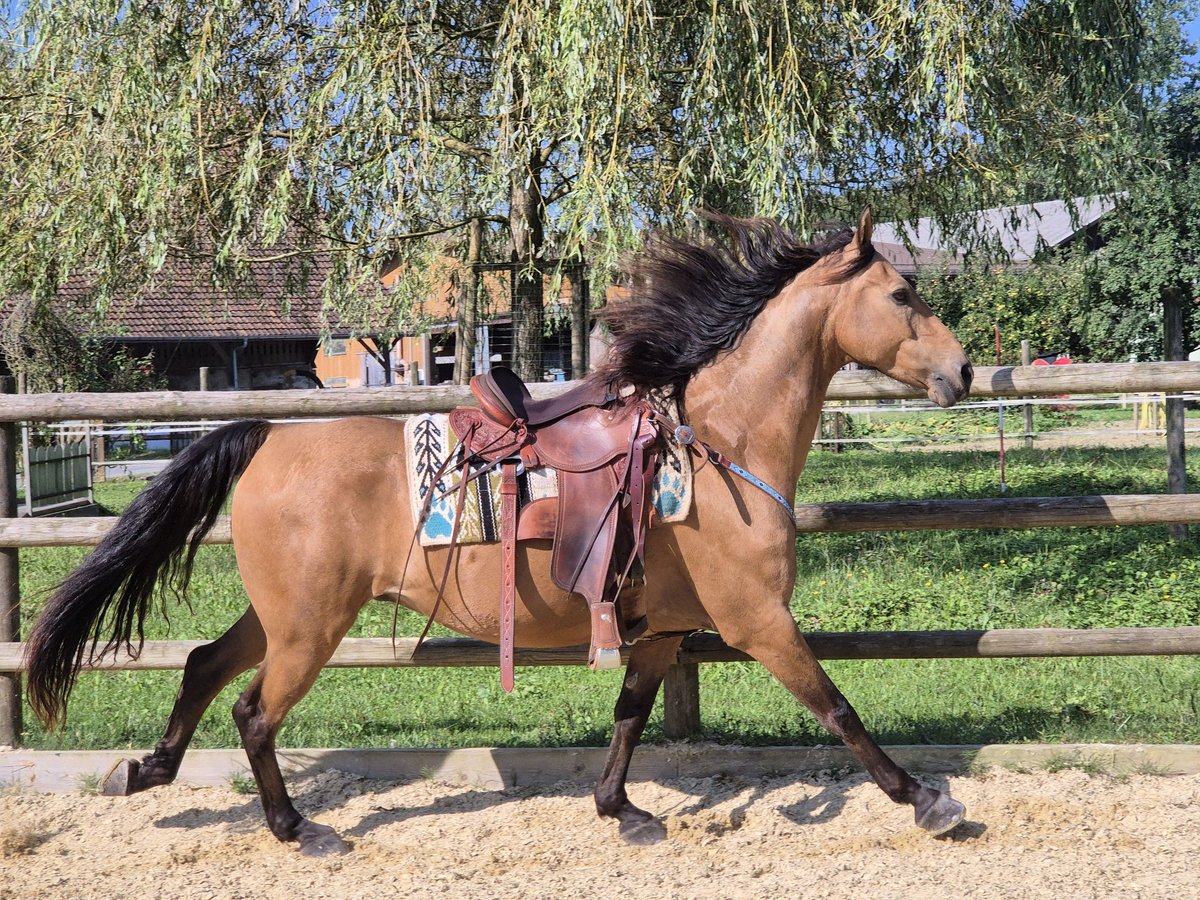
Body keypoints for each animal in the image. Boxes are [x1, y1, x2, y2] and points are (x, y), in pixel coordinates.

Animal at [25, 207, 974, 854]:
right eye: (901, 292)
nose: (963, 371)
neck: (719, 447)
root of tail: (268, 437)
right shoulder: (758, 621)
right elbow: (839, 706)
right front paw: (929, 800)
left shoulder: (661, 631)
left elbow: (629, 717)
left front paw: (621, 810)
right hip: (310, 627)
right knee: (255, 711)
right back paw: (297, 827)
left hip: (282, 614)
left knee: (200, 665)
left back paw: (145, 769)